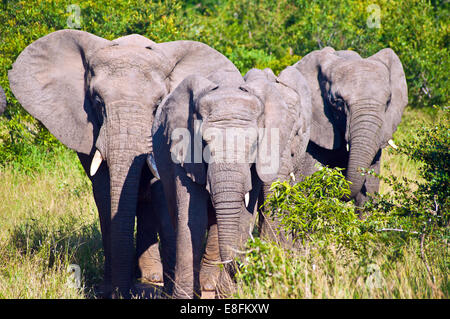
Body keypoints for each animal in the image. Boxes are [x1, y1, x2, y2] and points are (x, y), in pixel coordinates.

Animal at [7, 28, 239, 298]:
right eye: (98, 102)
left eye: (158, 105)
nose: (120, 291)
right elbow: (105, 193)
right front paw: (110, 289)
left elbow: (161, 193)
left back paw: (157, 278)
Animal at [153, 65, 312, 300]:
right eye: (204, 142)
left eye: (254, 144)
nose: (240, 264)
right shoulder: (183, 149)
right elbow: (194, 218)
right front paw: (184, 297)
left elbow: (243, 217)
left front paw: (229, 294)